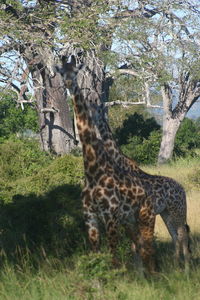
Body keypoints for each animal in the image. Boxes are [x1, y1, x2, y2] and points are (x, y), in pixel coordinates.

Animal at [61, 55, 156, 274]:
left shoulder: (110, 215)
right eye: (61, 71)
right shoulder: (89, 214)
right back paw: (143, 274)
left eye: (76, 71)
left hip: (144, 216)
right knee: (139, 244)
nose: (69, 83)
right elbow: (95, 252)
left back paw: (155, 274)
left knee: (148, 245)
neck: (93, 170)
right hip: (130, 220)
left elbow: (113, 256)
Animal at [94, 103, 191, 272]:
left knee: (182, 234)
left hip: (178, 210)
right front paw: (140, 272)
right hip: (166, 213)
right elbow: (135, 245)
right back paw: (175, 266)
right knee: (174, 236)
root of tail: (182, 189)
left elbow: (139, 244)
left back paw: (185, 269)